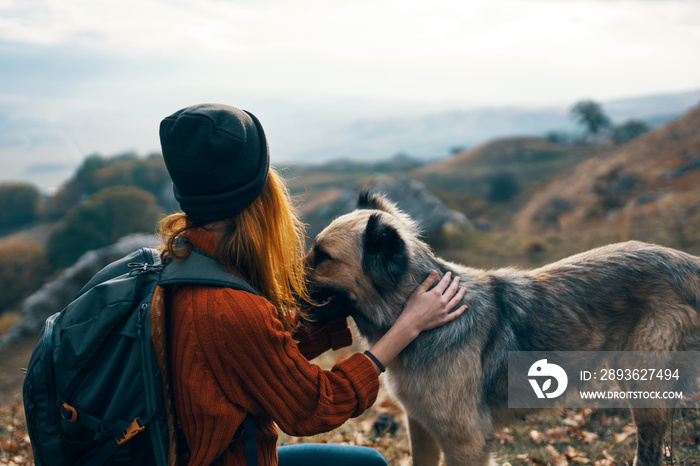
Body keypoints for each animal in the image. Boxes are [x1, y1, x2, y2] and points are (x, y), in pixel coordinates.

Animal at [304, 190, 700, 466]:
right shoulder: (421, 427)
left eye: (323, 257)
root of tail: (688, 263)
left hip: (645, 393)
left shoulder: (466, 443)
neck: (411, 317)